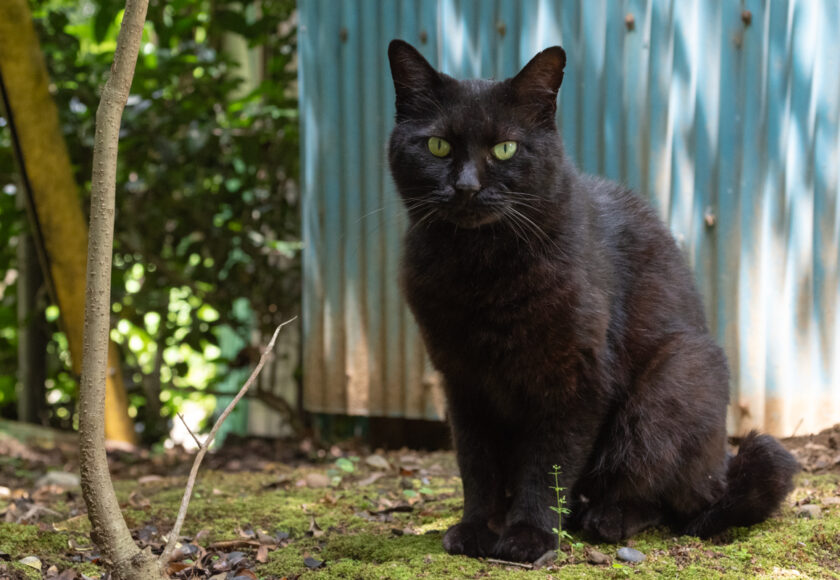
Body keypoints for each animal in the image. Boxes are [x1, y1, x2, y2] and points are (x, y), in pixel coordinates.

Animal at [388, 37, 800, 560]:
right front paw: (478, 528)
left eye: (505, 148)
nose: (466, 186)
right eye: (437, 145)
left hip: (680, 376)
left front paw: (529, 535)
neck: (479, 269)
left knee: (665, 496)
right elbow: (477, 465)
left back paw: (605, 518)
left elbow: (549, 464)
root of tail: (720, 470)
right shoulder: (464, 381)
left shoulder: (575, 377)